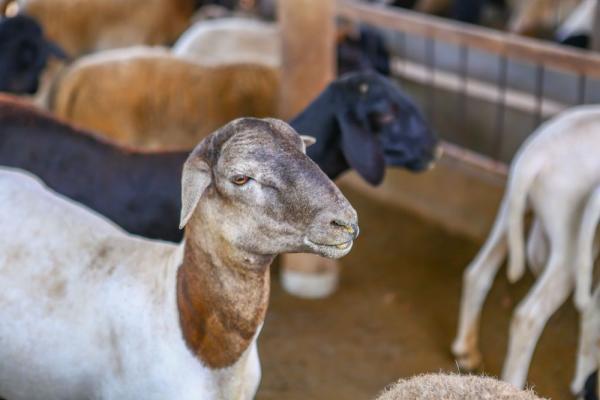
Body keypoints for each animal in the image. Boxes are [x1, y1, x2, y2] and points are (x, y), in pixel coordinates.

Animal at [452, 105, 600, 390]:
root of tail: (536, 153)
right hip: (570, 243)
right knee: (528, 317)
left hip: (510, 209)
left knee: (477, 272)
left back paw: (466, 350)